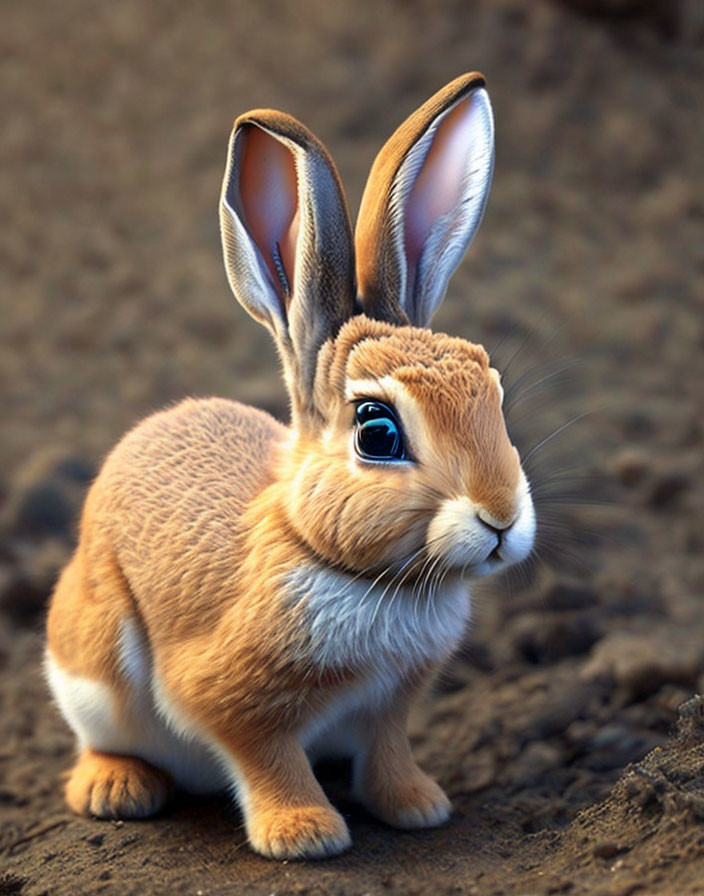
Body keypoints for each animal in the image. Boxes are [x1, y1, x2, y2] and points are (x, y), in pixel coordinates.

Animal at [46, 72, 536, 860]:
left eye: (493, 393)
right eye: (377, 432)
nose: (502, 517)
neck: (350, 568)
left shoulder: (389, 706)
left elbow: (387, 752)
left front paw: (417, 806)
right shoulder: (233, 699)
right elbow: (268, 758)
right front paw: (304, 835)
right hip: (92, 667)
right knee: (104, 734)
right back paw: (115, 789)